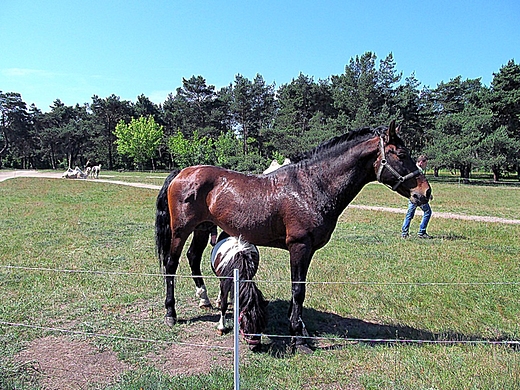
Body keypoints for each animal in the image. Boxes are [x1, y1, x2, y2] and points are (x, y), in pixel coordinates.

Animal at [154, 120, 430, 352]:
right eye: (402, 155)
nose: (425, 192)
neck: (312, 186)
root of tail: (182, 172)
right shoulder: (300, 247)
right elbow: (298, 290)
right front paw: (298, 337)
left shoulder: (306, 250)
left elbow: (300, 289)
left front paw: (300, 330)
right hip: (180, 231)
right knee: (171, 264)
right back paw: (171, 313)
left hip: (202, 228)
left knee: (193, 257)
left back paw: (204, 299)